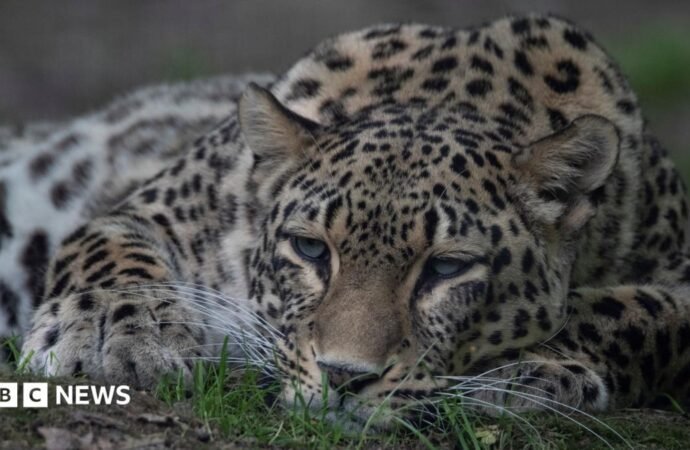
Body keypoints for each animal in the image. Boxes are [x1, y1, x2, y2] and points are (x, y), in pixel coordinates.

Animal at [12, 13, 690, 428]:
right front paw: (112, 335)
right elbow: (108, 257)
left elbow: (635, 312)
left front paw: (531, 369)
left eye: (447, 267)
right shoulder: (155, 210)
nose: (342, 377)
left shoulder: (677, 272)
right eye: (311, 250)